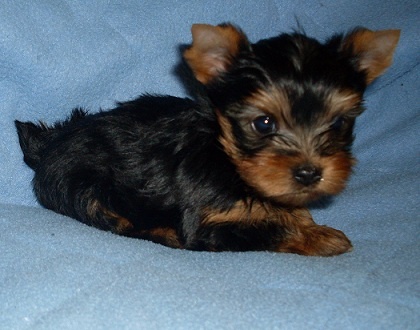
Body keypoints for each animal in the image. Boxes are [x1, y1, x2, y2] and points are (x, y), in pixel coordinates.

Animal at [14, 23, 398, 255]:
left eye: (338, 123)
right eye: (264, 123)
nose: (308, 173)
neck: (228, 159)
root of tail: (49, 144)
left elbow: (288, 208)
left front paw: (307, 222)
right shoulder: (207, 223)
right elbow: (268, 227)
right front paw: (319, 237)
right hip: (83, 189)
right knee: (117, 222)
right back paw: (163, 234)